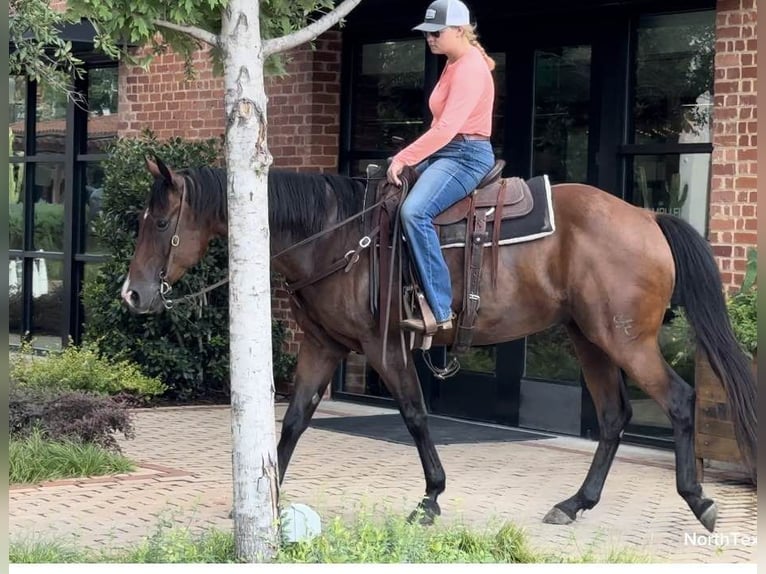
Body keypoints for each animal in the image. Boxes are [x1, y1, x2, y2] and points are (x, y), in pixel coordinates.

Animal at [121, 157, 756, 534]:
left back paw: (699, 501)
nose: (132, 293)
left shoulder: (383, 349)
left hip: (625, 340)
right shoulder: (323, 347)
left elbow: (415, 414)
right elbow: (294, 420)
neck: (335, 235)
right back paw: (575, 504)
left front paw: (430, 498)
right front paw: (263, 501)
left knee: (678, 400)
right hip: (590, 340)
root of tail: (648, 216)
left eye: (160, 222)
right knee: (614, 415)